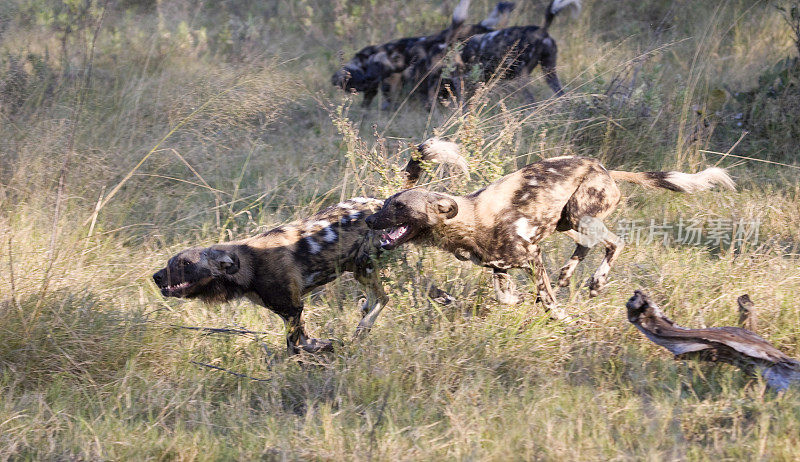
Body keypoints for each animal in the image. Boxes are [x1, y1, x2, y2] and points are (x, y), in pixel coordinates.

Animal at [152, 146, 466, 356]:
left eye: (184, 264)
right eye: (171, 263)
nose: (155, 277)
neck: (247, 267)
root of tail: (381, 204)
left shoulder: (292, 308)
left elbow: (296, 343)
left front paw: (316, 352)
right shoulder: (289, 311)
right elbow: (299, 341)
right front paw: (319, 348)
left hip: (364, 266)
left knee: (384, 298)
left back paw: (363, 329)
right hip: (366, 268)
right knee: (424, 292)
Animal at [366, 139, 736, 316]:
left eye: (398, 207)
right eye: (385, 204)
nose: (369, 219)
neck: (466, 222)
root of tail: (604, 167)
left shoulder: (533, 255)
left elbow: (544, 299)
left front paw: (557, 316)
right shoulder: (502, 266)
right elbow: (506, 298)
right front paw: (520, 300)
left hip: (580, 214)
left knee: (614, 242)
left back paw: (596, 281)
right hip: (566, 221)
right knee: (591, 243)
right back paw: (570, 274)